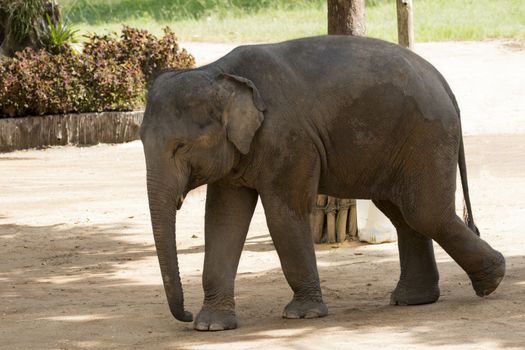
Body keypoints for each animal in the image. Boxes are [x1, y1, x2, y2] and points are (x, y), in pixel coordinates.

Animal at [139, 34, 504, 330]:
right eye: (140, 139)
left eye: (180, 146)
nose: (185, 315)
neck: (217, 71)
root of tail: (443, 81)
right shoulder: (238, 152)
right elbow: (223, 220)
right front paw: (211, 326)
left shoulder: (290, 140)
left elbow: (283, 215)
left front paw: (302, 315)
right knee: (403, 214)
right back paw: (414, 300)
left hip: (427, 135)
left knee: (423, 212)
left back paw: (492, 280)